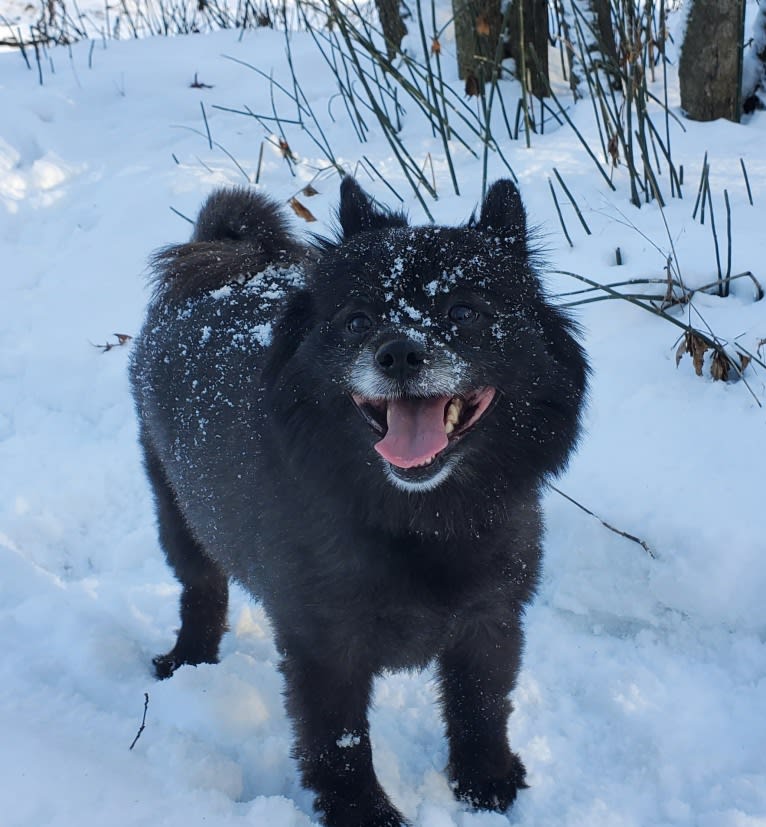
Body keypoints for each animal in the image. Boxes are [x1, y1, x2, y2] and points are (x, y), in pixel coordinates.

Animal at [130, 181, 588, 827]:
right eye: (357, 321)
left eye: (463, 312)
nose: (398, 353)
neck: (421, 521)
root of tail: (227, 259)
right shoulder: (325, 642)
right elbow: (340, 739)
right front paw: (362, 813)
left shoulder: (491, 618)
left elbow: (481, 703)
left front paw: (485, 779)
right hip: (179, 514)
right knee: (202, 589)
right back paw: (189, 659)